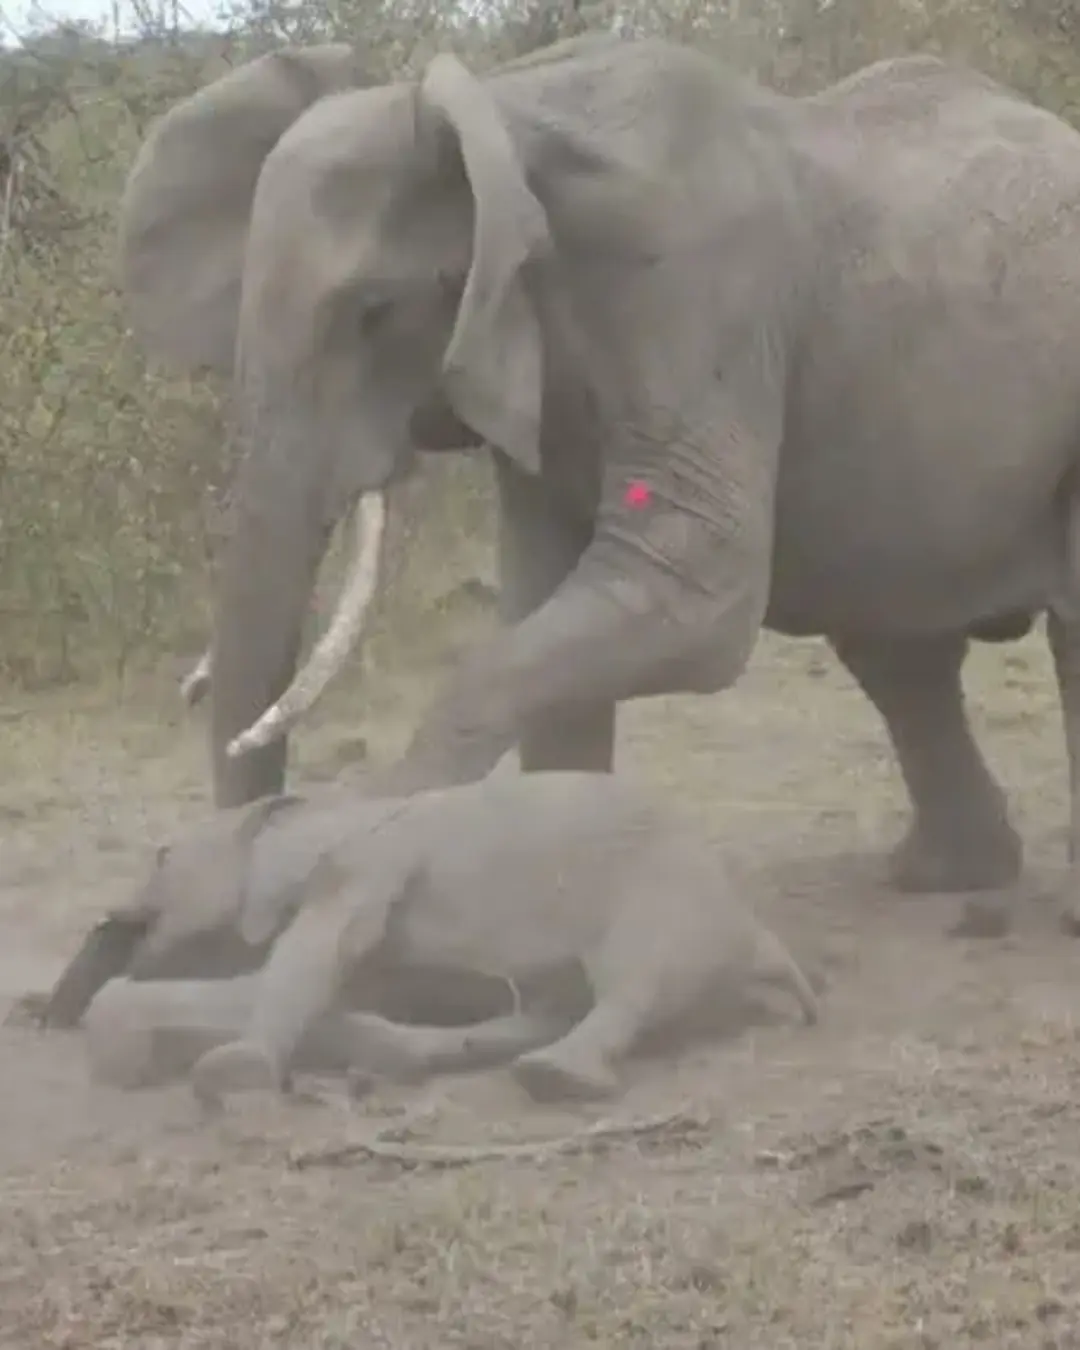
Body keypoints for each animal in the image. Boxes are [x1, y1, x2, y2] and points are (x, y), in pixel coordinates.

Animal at [119, 32, 1080, 925]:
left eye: (374, 313)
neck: (502, 114)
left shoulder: (696, 292)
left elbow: (695, 590)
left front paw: (344, 836)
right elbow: (543, 598)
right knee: (894, 649)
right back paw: (946, 877)